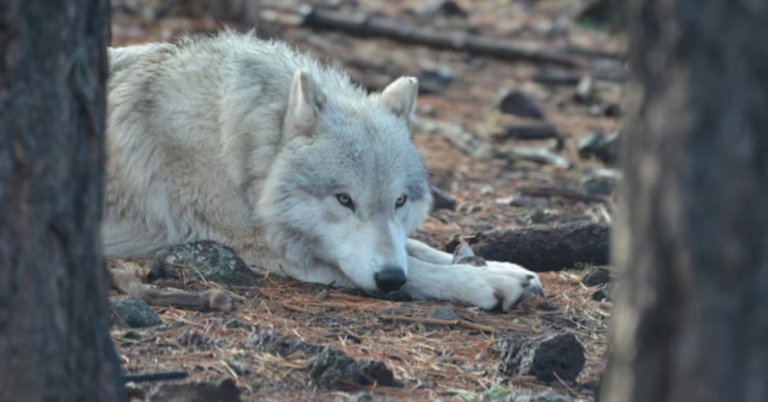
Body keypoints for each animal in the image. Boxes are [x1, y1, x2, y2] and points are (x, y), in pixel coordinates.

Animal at [103, 29, 544, 310]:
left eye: (400, 201)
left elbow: (417, 248)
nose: (390, 279)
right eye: (344, 200)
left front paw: (505, 268)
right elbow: (418, 269)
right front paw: (488, 283)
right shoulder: (268, 251)